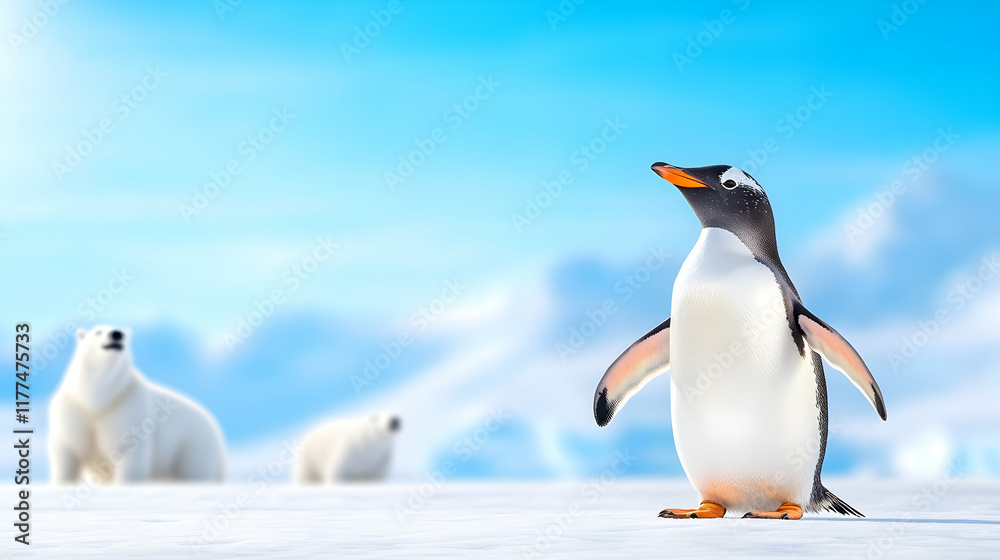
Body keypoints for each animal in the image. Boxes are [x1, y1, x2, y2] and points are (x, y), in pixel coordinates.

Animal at [48, 325, 226, 483]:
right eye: (98, 331)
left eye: (121, 332)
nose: (116, 334)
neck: (98, 399)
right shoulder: (74, 410)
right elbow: (67, 449)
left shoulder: (128, 409)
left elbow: (129, 451)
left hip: (191, 447)